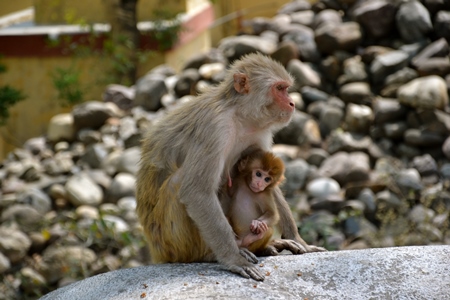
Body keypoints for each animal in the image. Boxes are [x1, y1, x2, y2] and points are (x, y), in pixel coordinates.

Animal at [135, 51, 326, 282]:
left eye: (286, 88)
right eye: (279, 88)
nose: (291, 103)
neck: (239, 115)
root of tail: (157, 252)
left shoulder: (259, 132)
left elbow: (269, 183)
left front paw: (298, 240)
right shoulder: (214, 128)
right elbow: (196, 191)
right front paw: (234, 258)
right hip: (172, 245)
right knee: (178, 183)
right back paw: (212, 254)